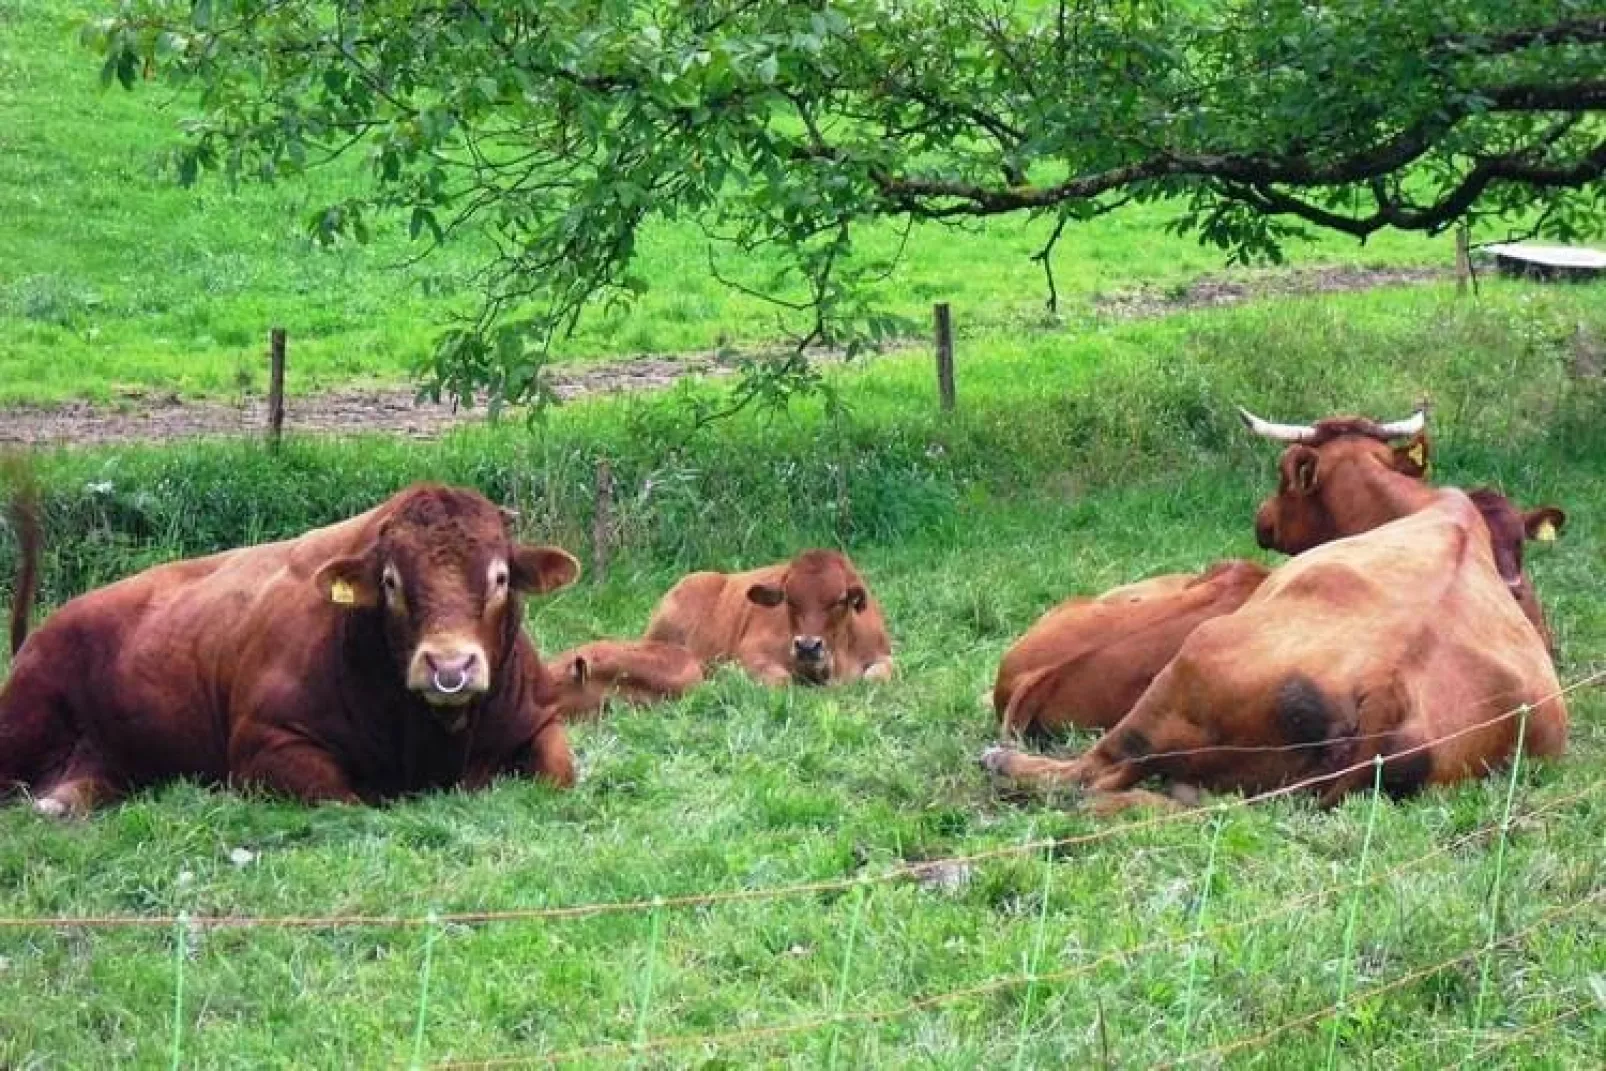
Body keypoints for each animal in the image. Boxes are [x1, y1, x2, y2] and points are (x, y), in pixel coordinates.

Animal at [1, 481, 584, 815]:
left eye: (501, 578)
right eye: (391, 582)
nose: (449, 667)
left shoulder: (539, 718)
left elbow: (561, 772)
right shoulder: (267, 746)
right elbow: (348, 803)